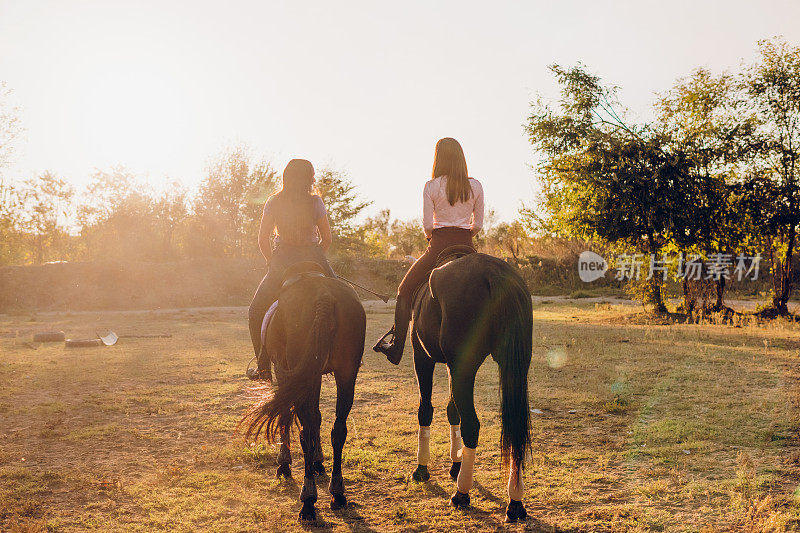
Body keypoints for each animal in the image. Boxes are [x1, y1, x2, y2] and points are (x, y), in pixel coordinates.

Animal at [241, 266, 366, 520]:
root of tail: (324, 296)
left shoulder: (284, 371)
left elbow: (286, 416)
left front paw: (284, 464)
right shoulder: (313, 376)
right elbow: (316, 417)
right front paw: (319, 462)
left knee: (304, 429)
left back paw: (308, 499)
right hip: (345, 372)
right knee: (338, 429)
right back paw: (337, 493)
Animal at [412, 251, 532, 520]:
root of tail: (494, 273)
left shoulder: (422, 357)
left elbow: (426, 409)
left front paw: (422, 468)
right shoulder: (452, 366)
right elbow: (451, 410)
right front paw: (455, 464)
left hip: (463, 366)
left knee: (472, 425)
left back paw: (461, 493)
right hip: (514, 367)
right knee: (516, 426)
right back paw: (515, 500)